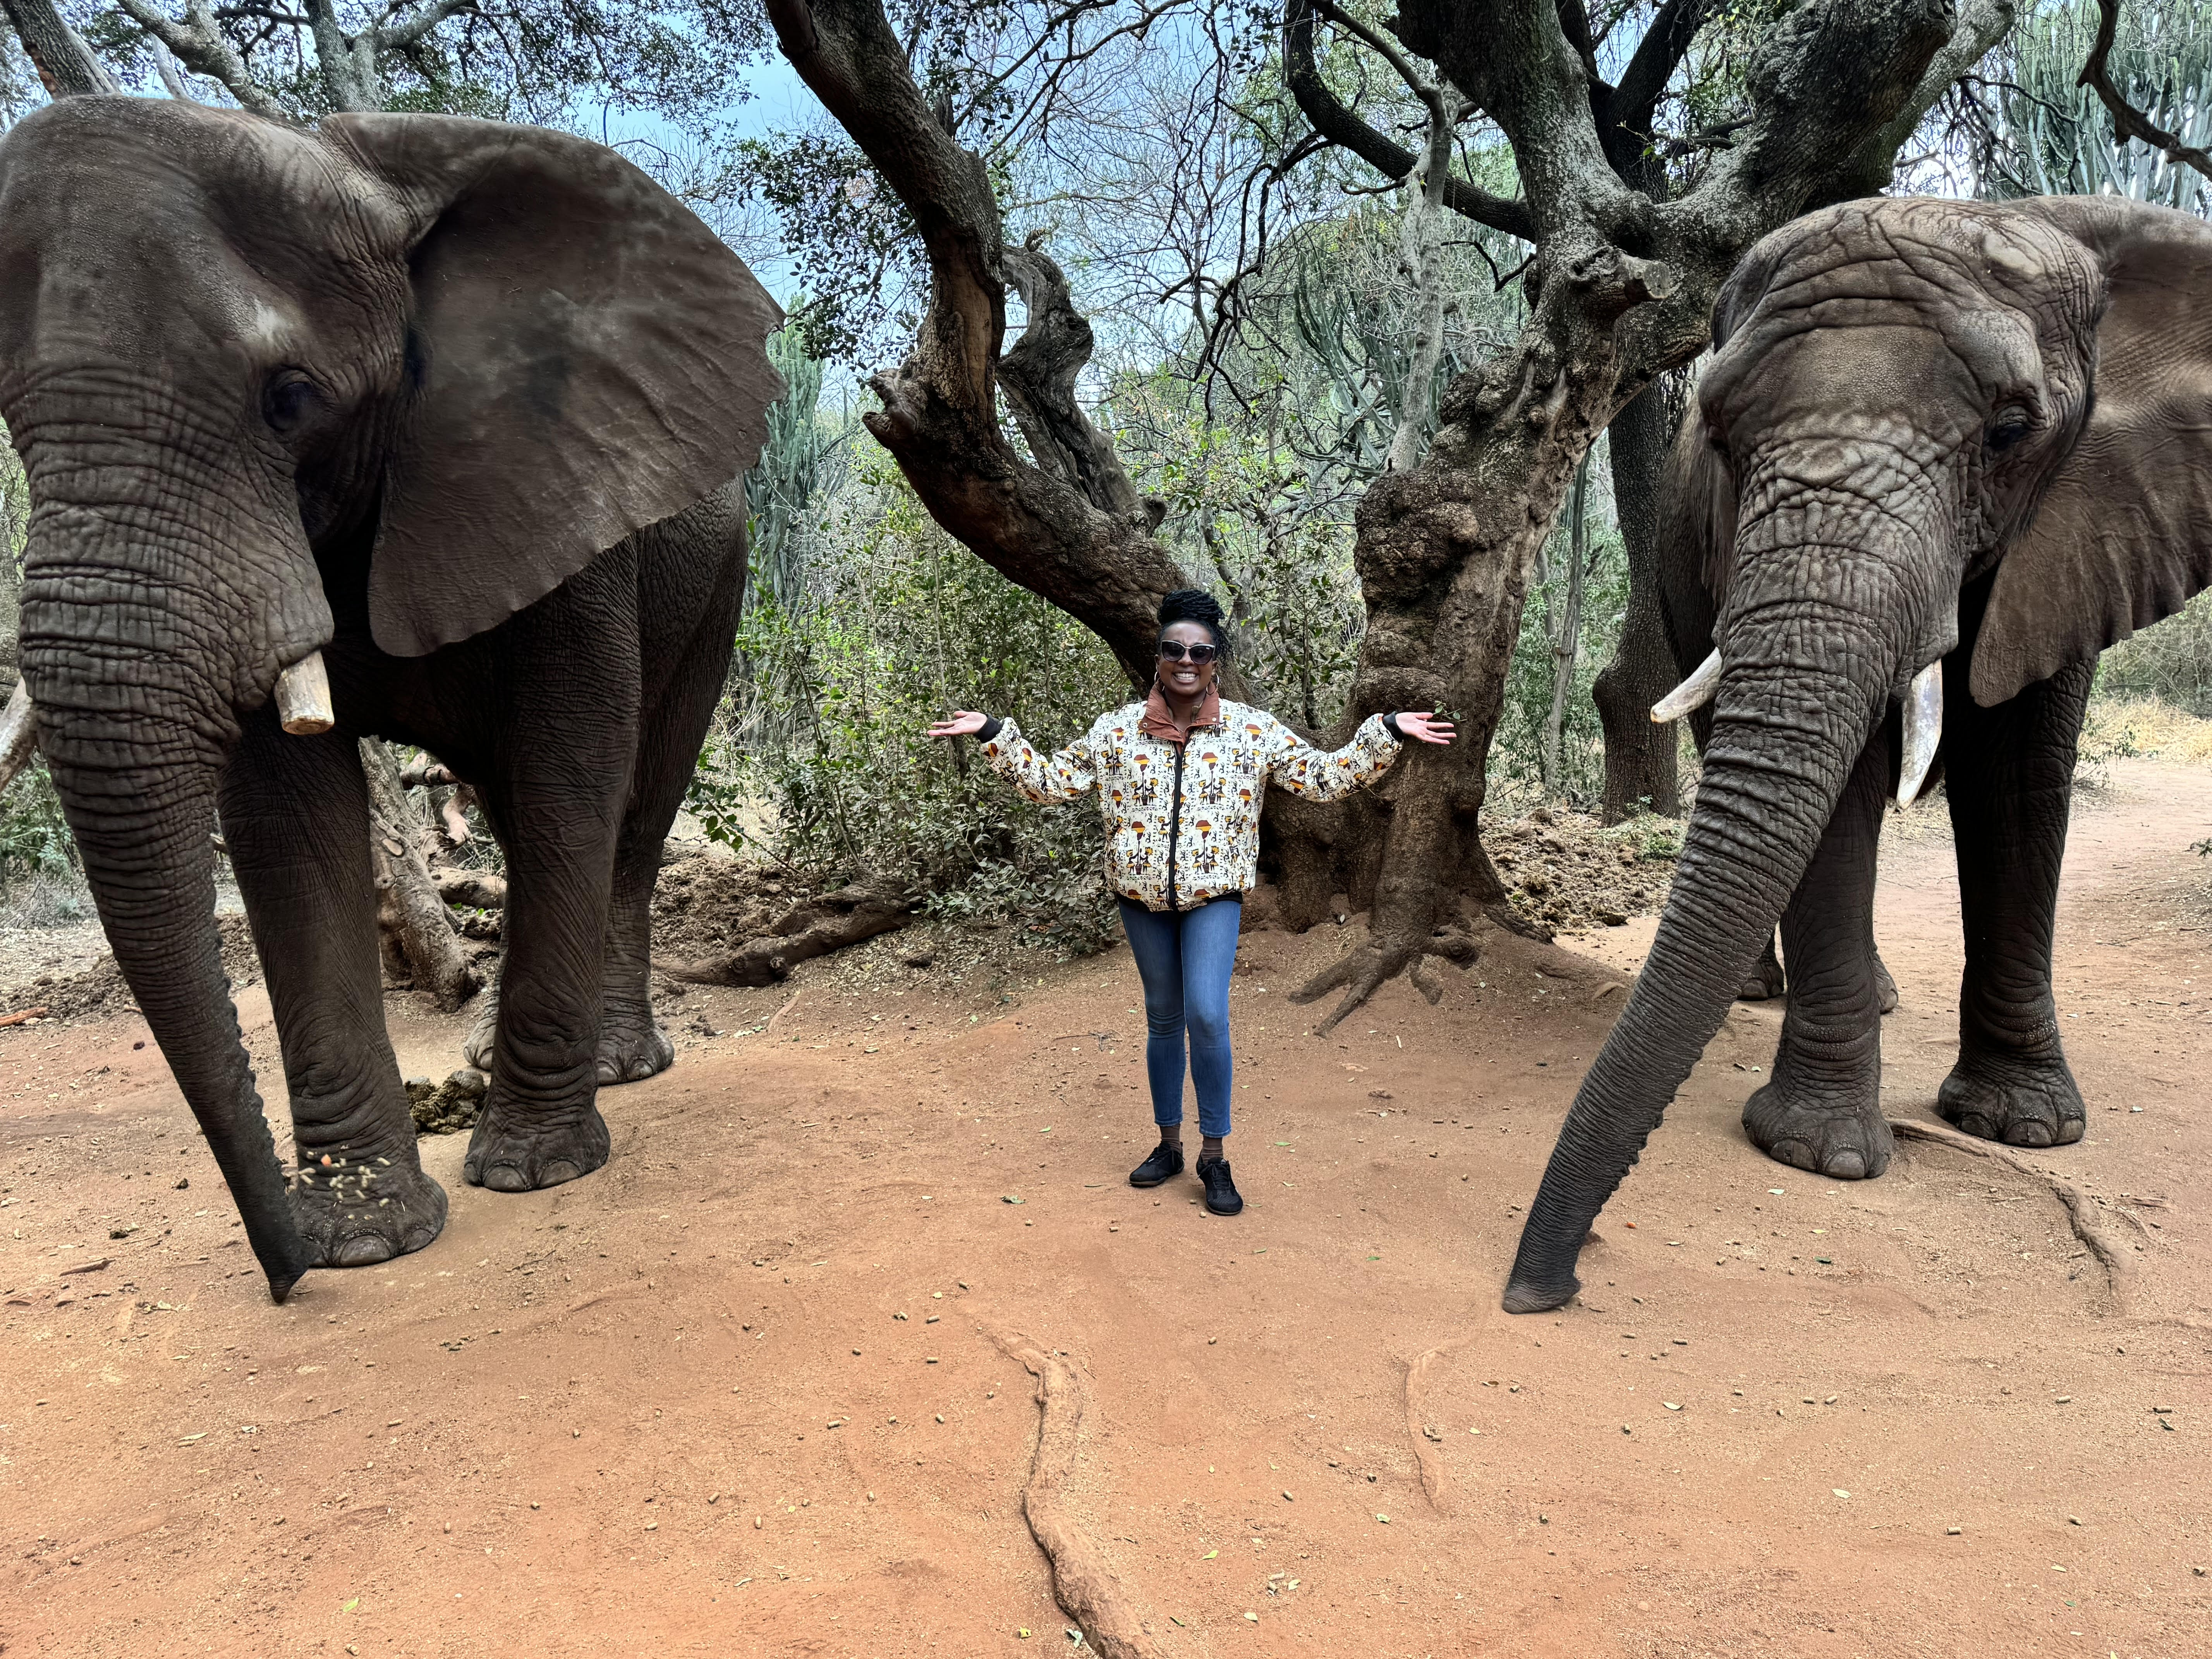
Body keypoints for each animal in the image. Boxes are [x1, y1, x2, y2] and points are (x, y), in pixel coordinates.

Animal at [0, 97, 787, 1309]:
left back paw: (616, 1067)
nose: (285, 1280)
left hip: (719, 579)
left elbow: (572, 774)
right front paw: (364, 1238)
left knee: (634, 811)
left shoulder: (567, 498)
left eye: (290, 401)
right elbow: (288, 828)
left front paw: (534, 1172)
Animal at [1504, 194, 2212, 1318]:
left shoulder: (2082, 521)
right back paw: (1762, 993)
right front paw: (1820, 1154)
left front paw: (2030, 1126)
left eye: (2011, 430)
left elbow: (2019, 780)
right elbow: (1839, 794)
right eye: (1720, 433)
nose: (1546, 1289)